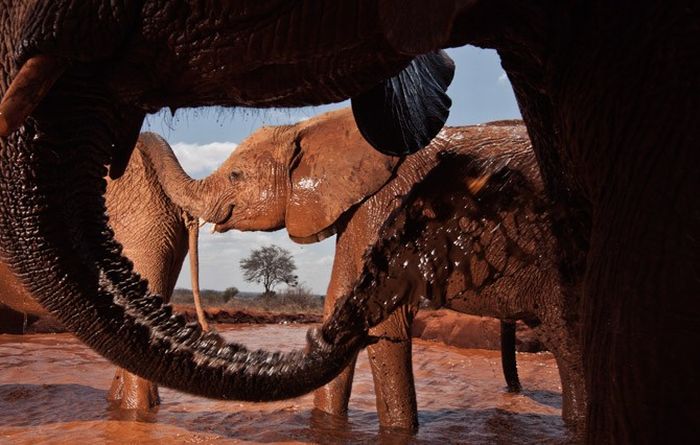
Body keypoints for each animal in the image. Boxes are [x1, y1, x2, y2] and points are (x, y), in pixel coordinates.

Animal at [135, 107, 584, 430]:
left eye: (235, 174)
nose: (142, 135)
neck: (312, 127)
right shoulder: (361, 211)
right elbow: (340, 305)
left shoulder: (386, 204)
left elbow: (383, 320)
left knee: (568, 340)